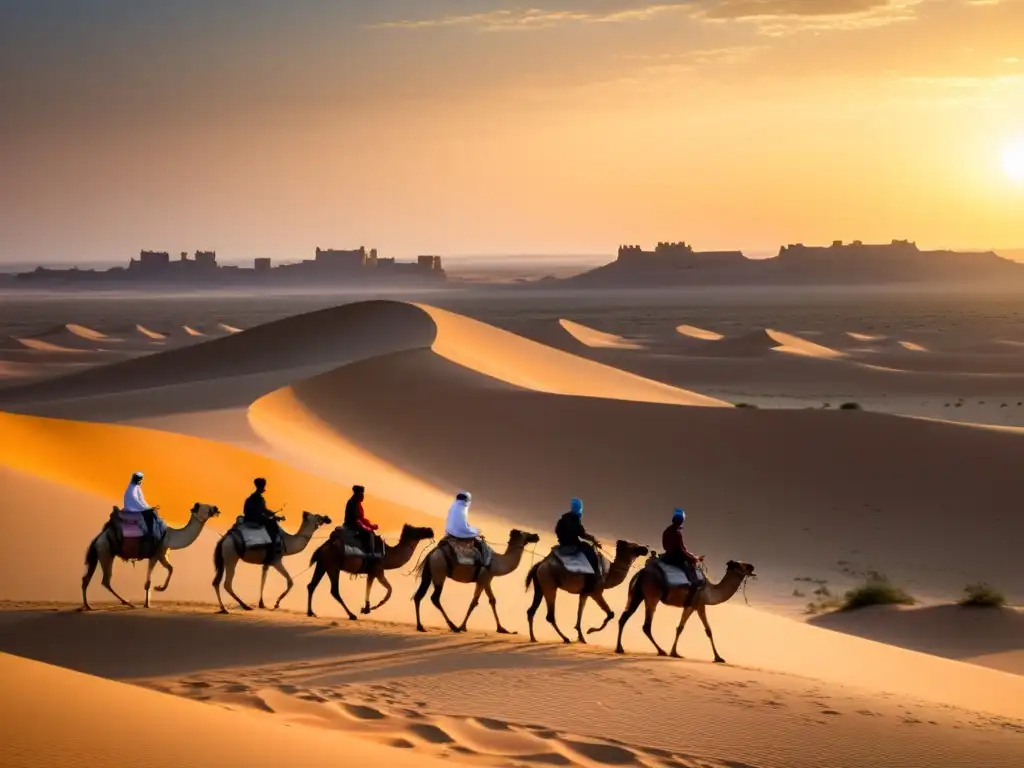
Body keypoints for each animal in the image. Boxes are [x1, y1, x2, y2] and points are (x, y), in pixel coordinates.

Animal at [81, 505, 220, 614]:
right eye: (205, 506)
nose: (216, 509)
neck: (169, 536)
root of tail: (98, 538)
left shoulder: (158, 556)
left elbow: (164, 572)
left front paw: (152, 597)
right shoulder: (157, 554)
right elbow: (158, 576)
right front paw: (155, 594)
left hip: (99, 553)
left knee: (86, 579)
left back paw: (88, 606)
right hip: (106, 552)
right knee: (105, 580)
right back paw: (127, 603)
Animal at [303, 528, 432, 622]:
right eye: (418, 530)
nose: (430, 531)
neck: (387, 555)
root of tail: (323, 547)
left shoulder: (371, 573)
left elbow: (369, 589)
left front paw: (366, 608)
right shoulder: (378, 571)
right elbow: (390, 590)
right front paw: (372, 607)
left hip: (322, 564)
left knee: (312, 585)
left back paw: (310, 612)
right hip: (332, 567)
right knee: (334, 590)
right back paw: (351, 615)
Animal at [415, 532, 544, 634]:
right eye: (526, 534)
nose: (536, 536)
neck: (497, 563)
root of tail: (431, 554)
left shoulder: (487, 580)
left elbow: (492, 600)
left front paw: (502, 629)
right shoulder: (483, 578)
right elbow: (474, 602)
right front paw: (462, 626)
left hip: (429, 574)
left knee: (418, 595)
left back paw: (420, 626)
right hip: (439, 573)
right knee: (434, 598)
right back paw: (453, 626)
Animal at [614, 557, 753, 663]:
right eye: (741, 565)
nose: (752, 566)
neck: (710, 592)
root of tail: (641, 573)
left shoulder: (692, 606)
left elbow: (683, 628)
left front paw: (674, 652)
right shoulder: (697, 605)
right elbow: (704, 630)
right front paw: (718, 658)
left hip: (636, 594)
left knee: (624, 617)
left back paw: (619, 648)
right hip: (652, 595)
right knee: (646, 626)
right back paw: (661, 650)